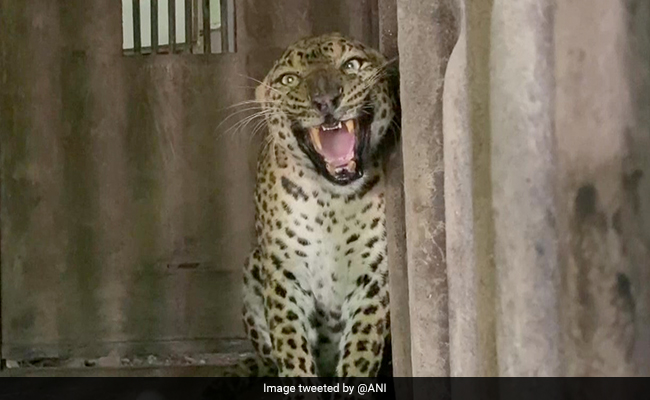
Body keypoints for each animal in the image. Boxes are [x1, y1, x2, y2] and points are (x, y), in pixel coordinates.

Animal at [234, 32, 398, 379]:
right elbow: (291, 344)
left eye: (351, 65)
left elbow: (361, 348)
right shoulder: (285, 275)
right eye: (289, 79)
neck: (331, 203)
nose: (325, 101)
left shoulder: (374, 278)